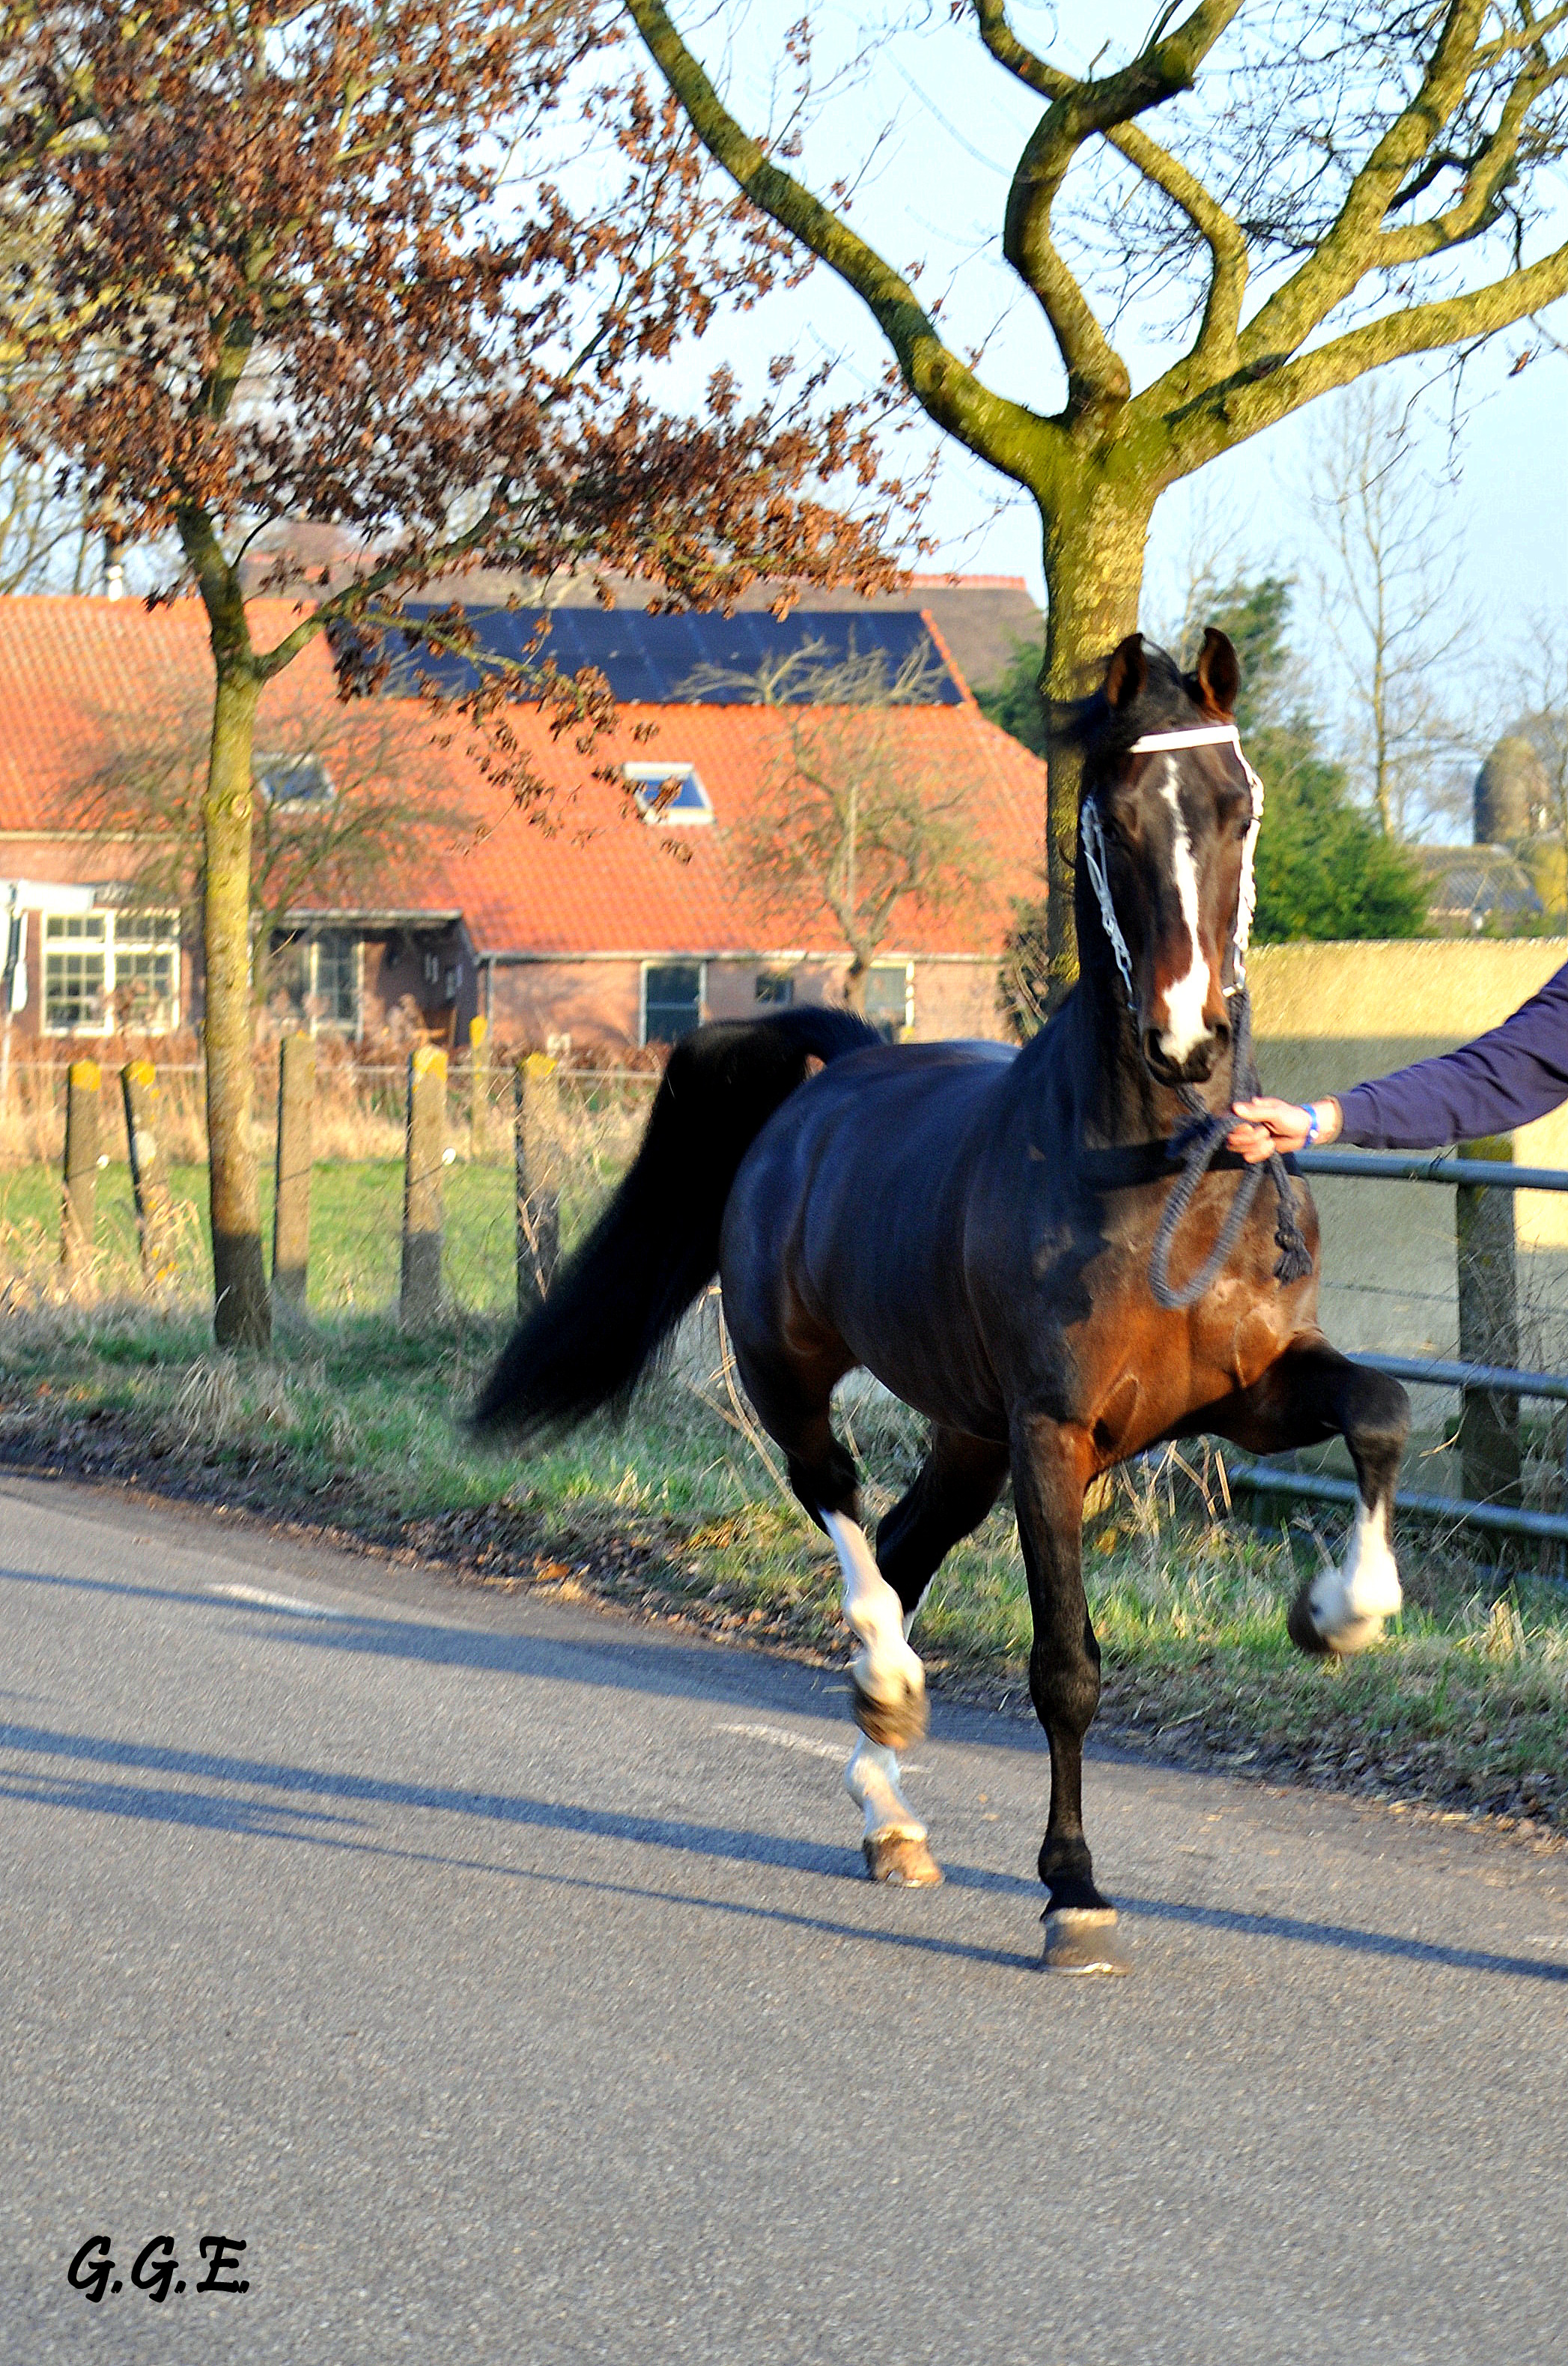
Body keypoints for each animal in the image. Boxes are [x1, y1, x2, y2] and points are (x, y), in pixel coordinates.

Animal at [475, 629, 1409, 1977]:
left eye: (1237, 804)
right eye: (1113, 811)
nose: (1185, 1038)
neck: (1159, 1171)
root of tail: (841, 1066)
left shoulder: (1241, 1396)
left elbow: (1378, 1409)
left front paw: (1341, 1612)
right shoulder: (1052, 1433)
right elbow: (1064, 1664)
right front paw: (1072, 1891)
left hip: (968, 1438)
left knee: (906, 1547)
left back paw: (891, 1816)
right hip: (800, 1378)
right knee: (848, 1524)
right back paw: (886, 1691)